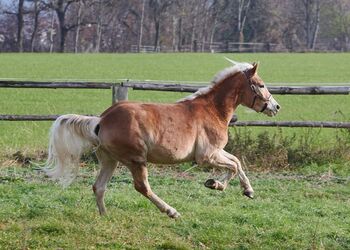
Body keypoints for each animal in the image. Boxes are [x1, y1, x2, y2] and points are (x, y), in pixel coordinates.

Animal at [44, 59, 278, 218]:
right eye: (261, 84)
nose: (276, 107)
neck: (213, 110)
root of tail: (101, 120)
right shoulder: (207, 156)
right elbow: (234, 166)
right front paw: (216, 184)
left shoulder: (217, 152)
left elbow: (237, 161)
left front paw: (245, 190)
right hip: (136, 159)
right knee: (142, 187)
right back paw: (171, 211)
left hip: (110, 160)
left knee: (99, 186)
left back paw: (105, 216)